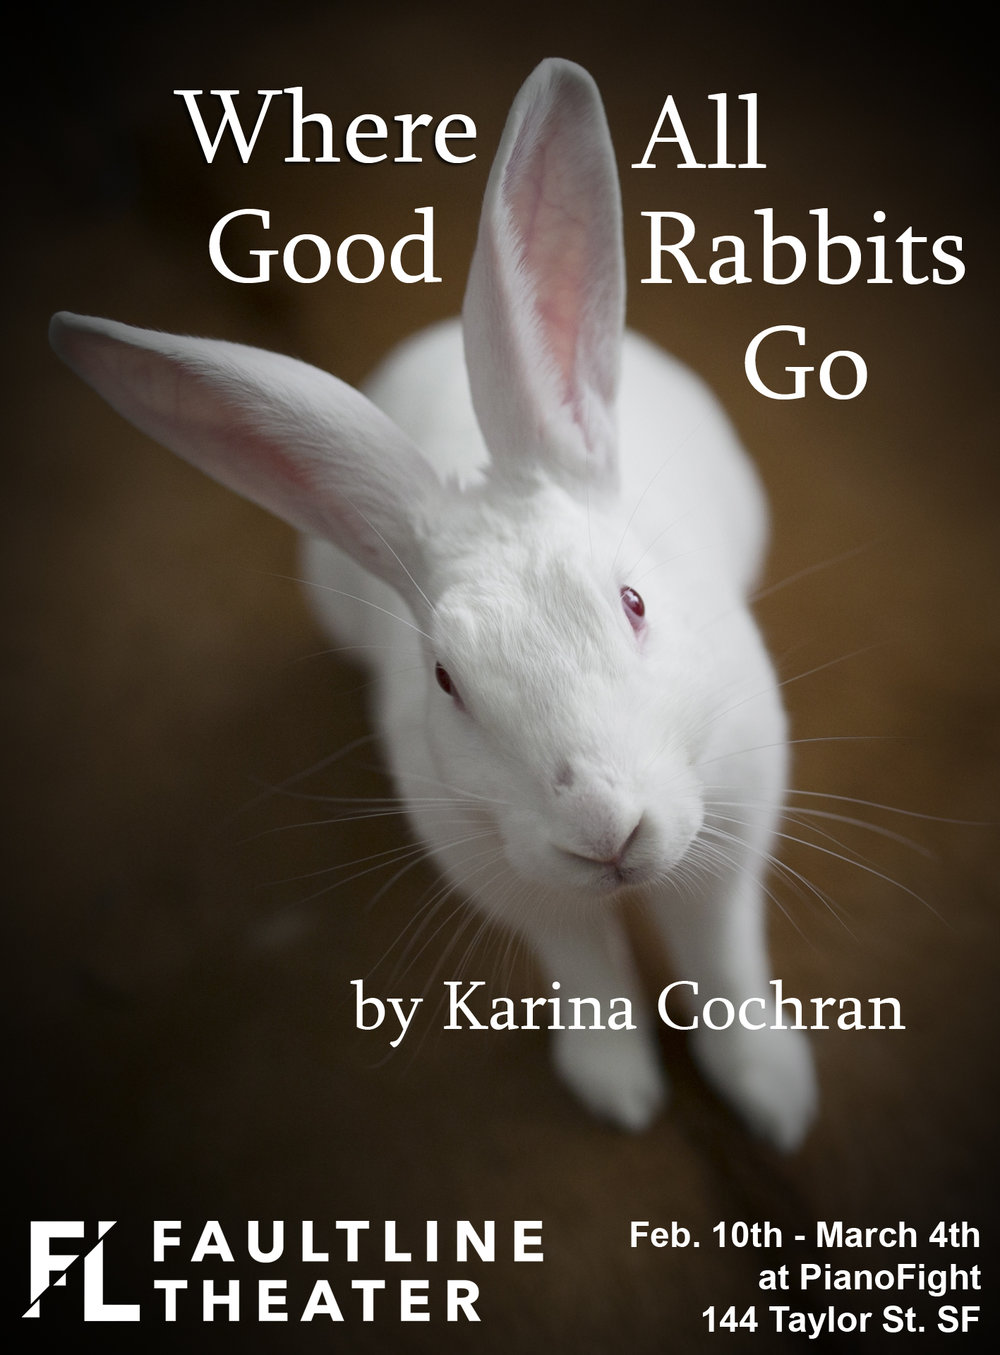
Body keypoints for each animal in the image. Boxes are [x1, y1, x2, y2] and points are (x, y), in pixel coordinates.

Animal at [49, 58, 817, 1150]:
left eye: (632, 602)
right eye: (446, 680)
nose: (602, 828)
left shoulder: (729, 850)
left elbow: (721, 961)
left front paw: (772, 1097)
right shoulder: (518, 889)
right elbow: (586, 970)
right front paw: (619, 1091)